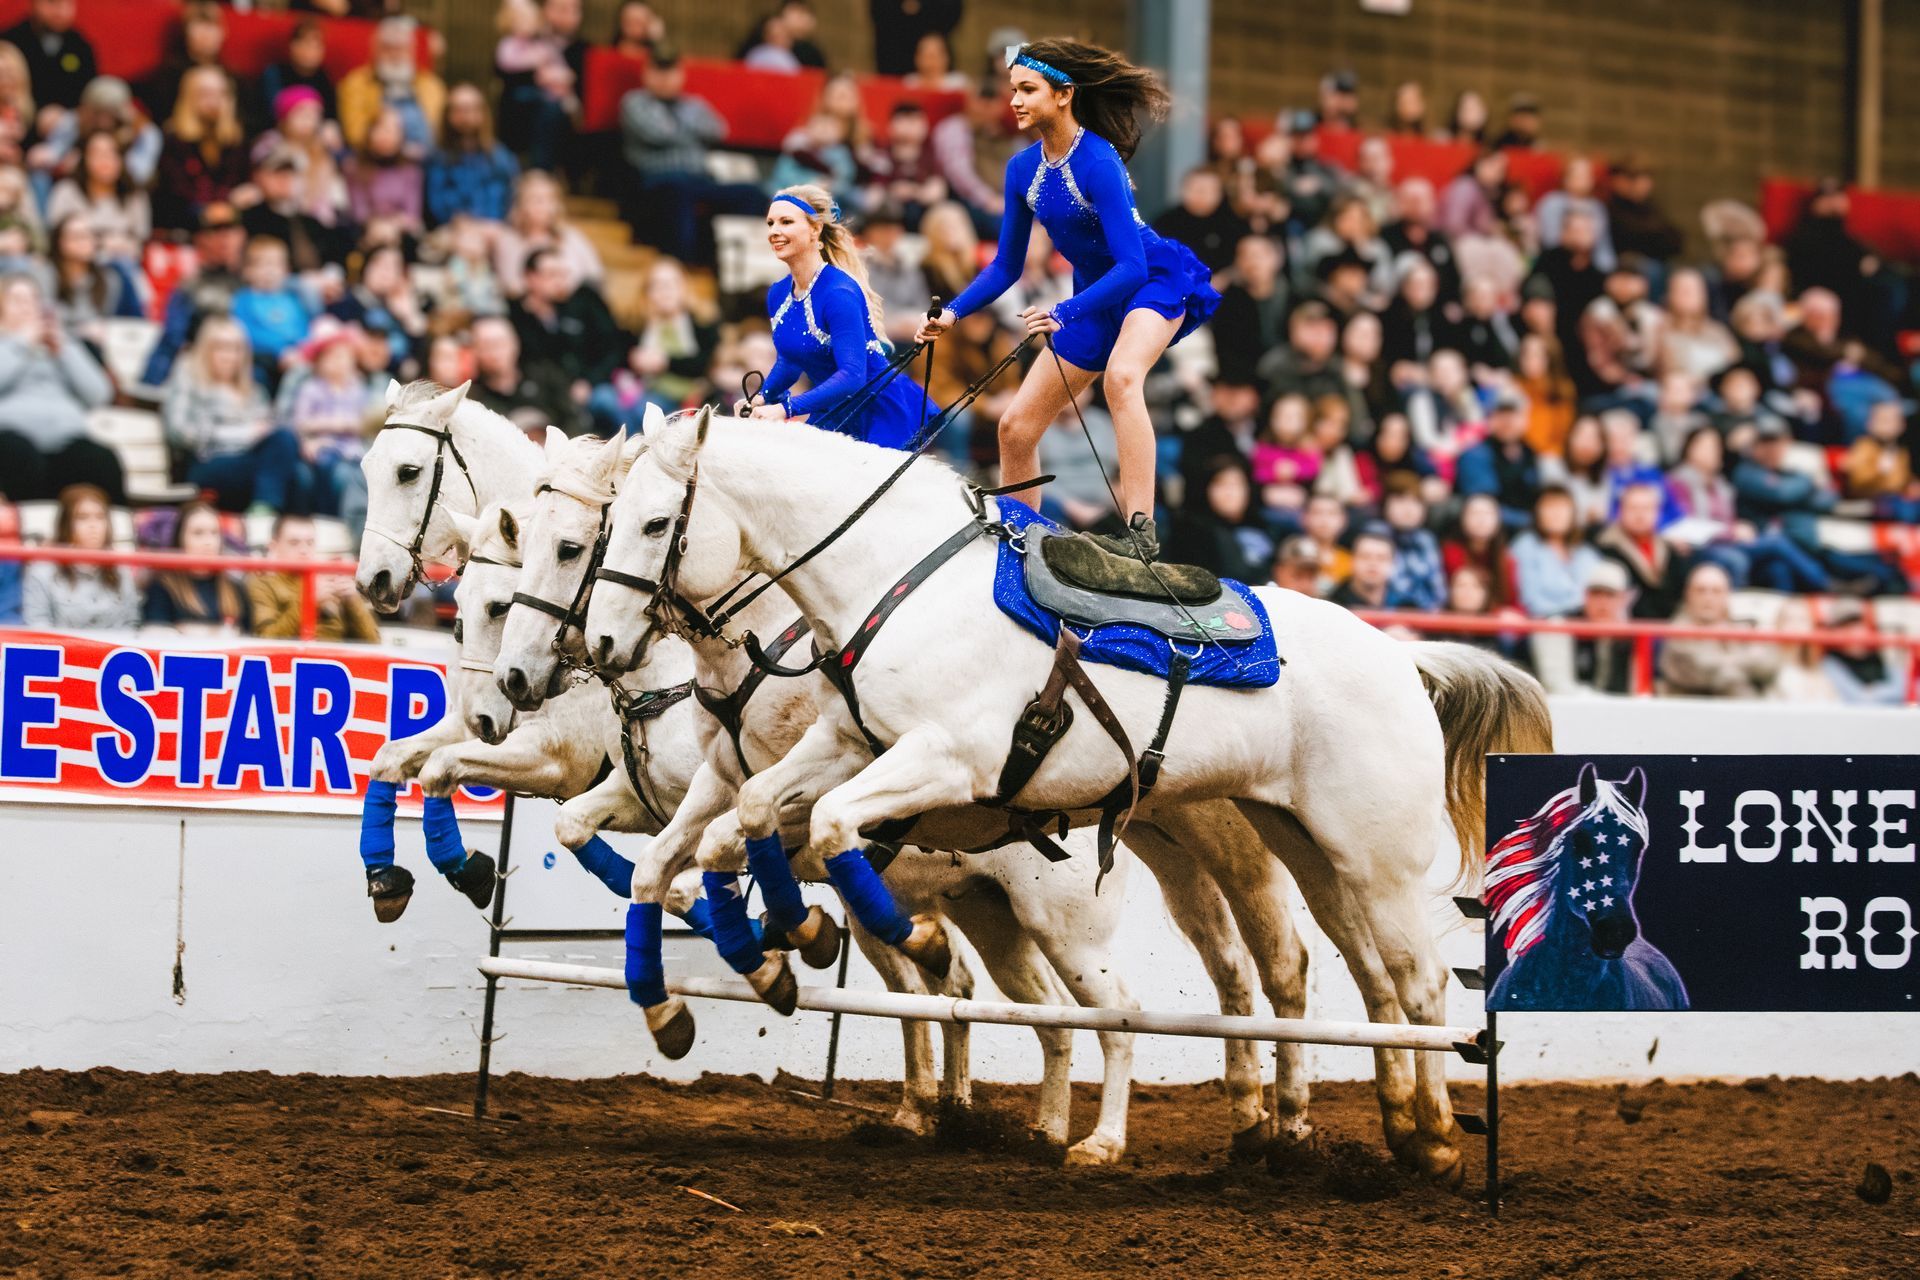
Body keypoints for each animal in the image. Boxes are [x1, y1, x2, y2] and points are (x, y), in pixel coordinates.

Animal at [576, 410, 1551, 1182]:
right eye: (602, 527)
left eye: (655, 522)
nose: (600, 643)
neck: (899, 581)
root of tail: (1405, 658)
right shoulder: (846, 745)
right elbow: (746, 821)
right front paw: (790, 943)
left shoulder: (943, 759)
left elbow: (834, 830)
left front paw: (895, 939)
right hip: (1310, 850)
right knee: (1365, 981)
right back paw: (1385, 1128)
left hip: (1375, 860)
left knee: (1419, 983)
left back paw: (1432, 1141)